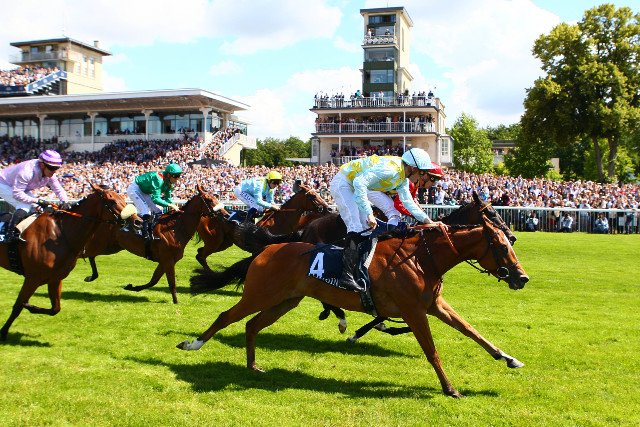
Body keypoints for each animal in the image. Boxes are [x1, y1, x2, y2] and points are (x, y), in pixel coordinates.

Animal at [0, 184, 139, 340]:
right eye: (112, 201)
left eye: (123, 198)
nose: (137, 221)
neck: (59, 235)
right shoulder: (33, 278)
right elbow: (18, 306)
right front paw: (3, 332)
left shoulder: (55, 278)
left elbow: (55, 309)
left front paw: (31, 307)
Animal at [82, 184, 226, 304]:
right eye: (209, 200)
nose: (225, 213)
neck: (174, 228)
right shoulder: (168, 259)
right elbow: (171, 282)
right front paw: (176, 302)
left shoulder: (165, 260)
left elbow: (154, 280)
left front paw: (132, 287)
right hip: (102, 243)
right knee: (87, 253)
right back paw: (90, 275)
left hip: (111, 246)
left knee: (91, 255)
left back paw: (91, 276)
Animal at [178, 216, 529, 398]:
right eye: (500, 247)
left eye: (511, 243)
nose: (521, 278)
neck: (421, 258)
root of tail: (266, 250)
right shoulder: (414, 312)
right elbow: (432, 352)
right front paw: (450, 388)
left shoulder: (435, 305)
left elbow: (473, 332)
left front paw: (509, 358)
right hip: (260, 294)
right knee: (226, 316)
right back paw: (192, 344)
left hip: (285, 301)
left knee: (252, 325)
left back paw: (253, 366)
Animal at [194, 183, 331, 271]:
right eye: (312, 196)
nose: (328, 208)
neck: (280, 221)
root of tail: (205, 215)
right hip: (214, 241)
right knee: (201, 256)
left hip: (224, 243)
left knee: (200, 253)